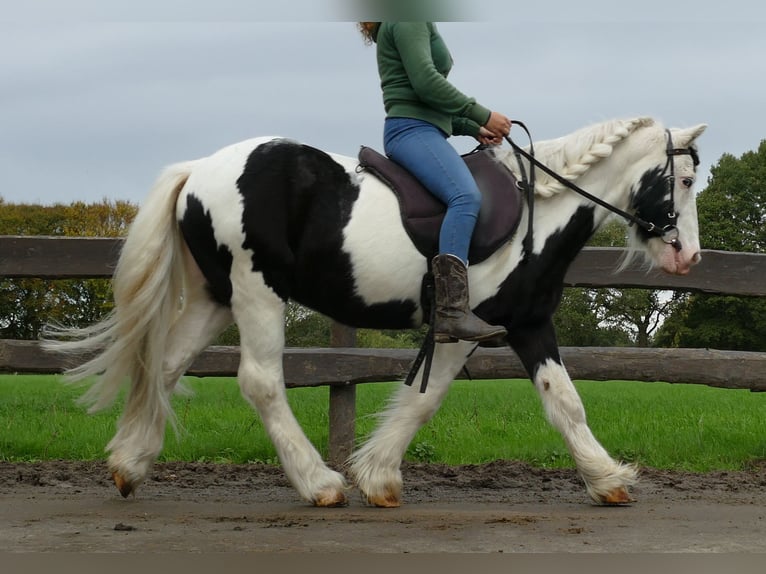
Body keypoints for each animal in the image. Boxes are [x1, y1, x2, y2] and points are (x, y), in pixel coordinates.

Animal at [43, 116, 708, 508]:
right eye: (682, 180)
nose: (689, 257)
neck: (538, 213)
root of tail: (198, 170)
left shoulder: (527, 322)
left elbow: (558, 400)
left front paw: (607, 478)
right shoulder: (474, 327)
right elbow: (431, 399)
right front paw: (373, 478)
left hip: (216, 296)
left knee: (165, 364)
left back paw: (130, 464)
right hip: (256, 290)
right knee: (259, 381)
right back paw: (319, 484)